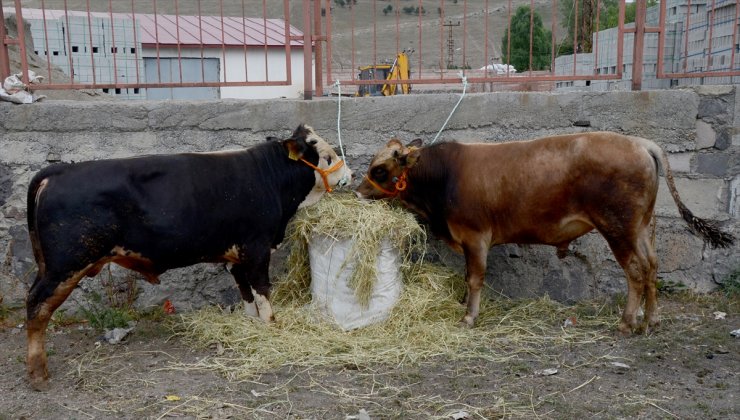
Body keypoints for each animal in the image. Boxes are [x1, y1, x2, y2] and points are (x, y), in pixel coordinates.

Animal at [358, 131, 736, 332]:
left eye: (378, 170)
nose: (357, 192)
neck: (444, 175)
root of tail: (640, 142)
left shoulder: (476, 237)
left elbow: (474, 277)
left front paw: (469, 316)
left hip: (618, 229)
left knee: (636, 272)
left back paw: (628, 322)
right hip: (644, 228)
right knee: (653, 268)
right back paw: (652, 320)